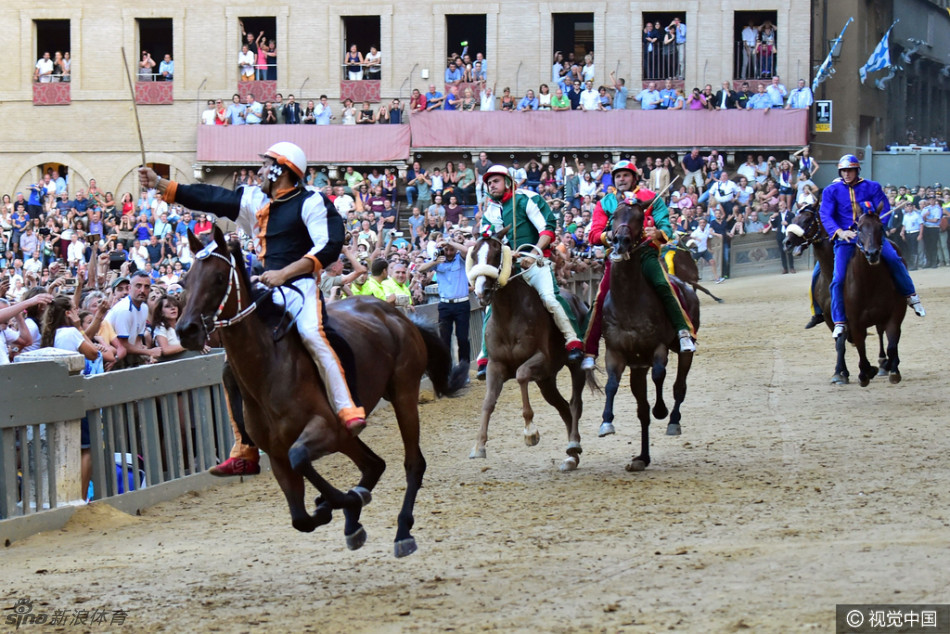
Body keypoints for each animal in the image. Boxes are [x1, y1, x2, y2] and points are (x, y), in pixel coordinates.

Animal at [178, 225, 468, 556]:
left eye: (217, 277)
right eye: (185, 281)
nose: (186, 330)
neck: (269, 367)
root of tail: (397, 315)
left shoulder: (324, 429)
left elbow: (301, 458)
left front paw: (345, 501)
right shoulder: (277, 454)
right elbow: (300, 518)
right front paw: (337, 507)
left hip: (403, 393)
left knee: (412, 463)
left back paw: (401, 530)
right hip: (349, 432)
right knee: (374, 464)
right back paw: (352, 518)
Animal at [468, 226, 588, 470]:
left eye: (496, 253)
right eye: (474, 255)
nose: (482, 291)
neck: (509, 316)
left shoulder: (540, 359)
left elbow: (522, 375)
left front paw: (530, 432)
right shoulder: (496, 365)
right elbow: (488, 402)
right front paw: (479, 445)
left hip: (575, 366)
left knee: (574, 404)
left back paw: (573, 444)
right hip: (546, 381)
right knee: (563, 408)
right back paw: (572, 456)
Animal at [604, 201, 700, 470]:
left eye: (639, 217)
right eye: (614, 216)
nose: (621, 241)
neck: (628, 302)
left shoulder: (657, 347)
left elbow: (659, 375)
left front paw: (662, 410)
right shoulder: (615, 353)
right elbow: (611, 385)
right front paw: (606, 422)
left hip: (684, 351)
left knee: (679, 386)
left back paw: (673, 421)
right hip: (638, 369)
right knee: (642, 412)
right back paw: (642, 458)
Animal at [784, 209, 904, 386]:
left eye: (806, 220)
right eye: (794, 217)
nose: (787, 242)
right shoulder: (831, 316)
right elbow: (839, 343)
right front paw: (840, 373)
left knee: (882, 331)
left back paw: (884, 363)